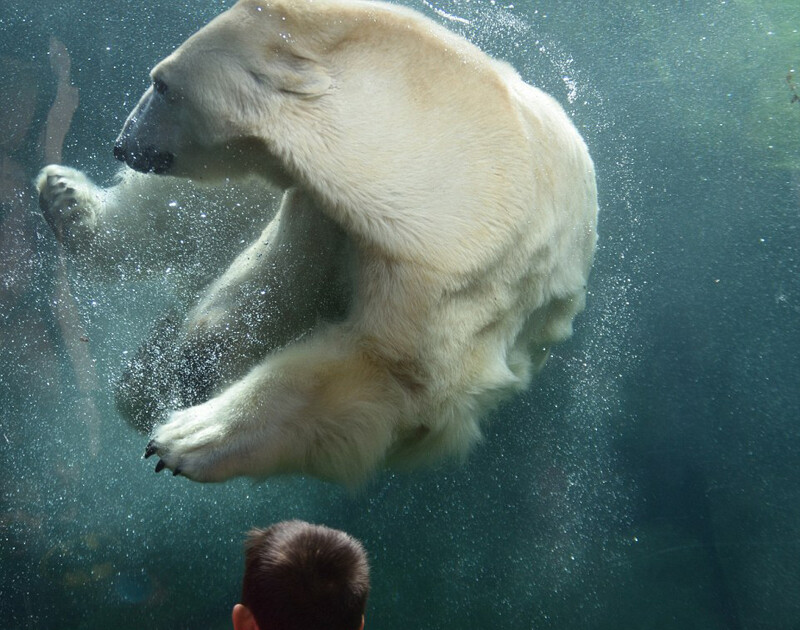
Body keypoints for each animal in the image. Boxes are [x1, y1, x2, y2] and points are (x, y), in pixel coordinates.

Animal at [39, 0, 600, 486]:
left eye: (162, 85)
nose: (121, 143)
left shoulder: (460, 267)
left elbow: (388, 376)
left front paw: (188, 436)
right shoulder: (327, 209)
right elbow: (271, 280)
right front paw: (186, 369)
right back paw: (68, 202)